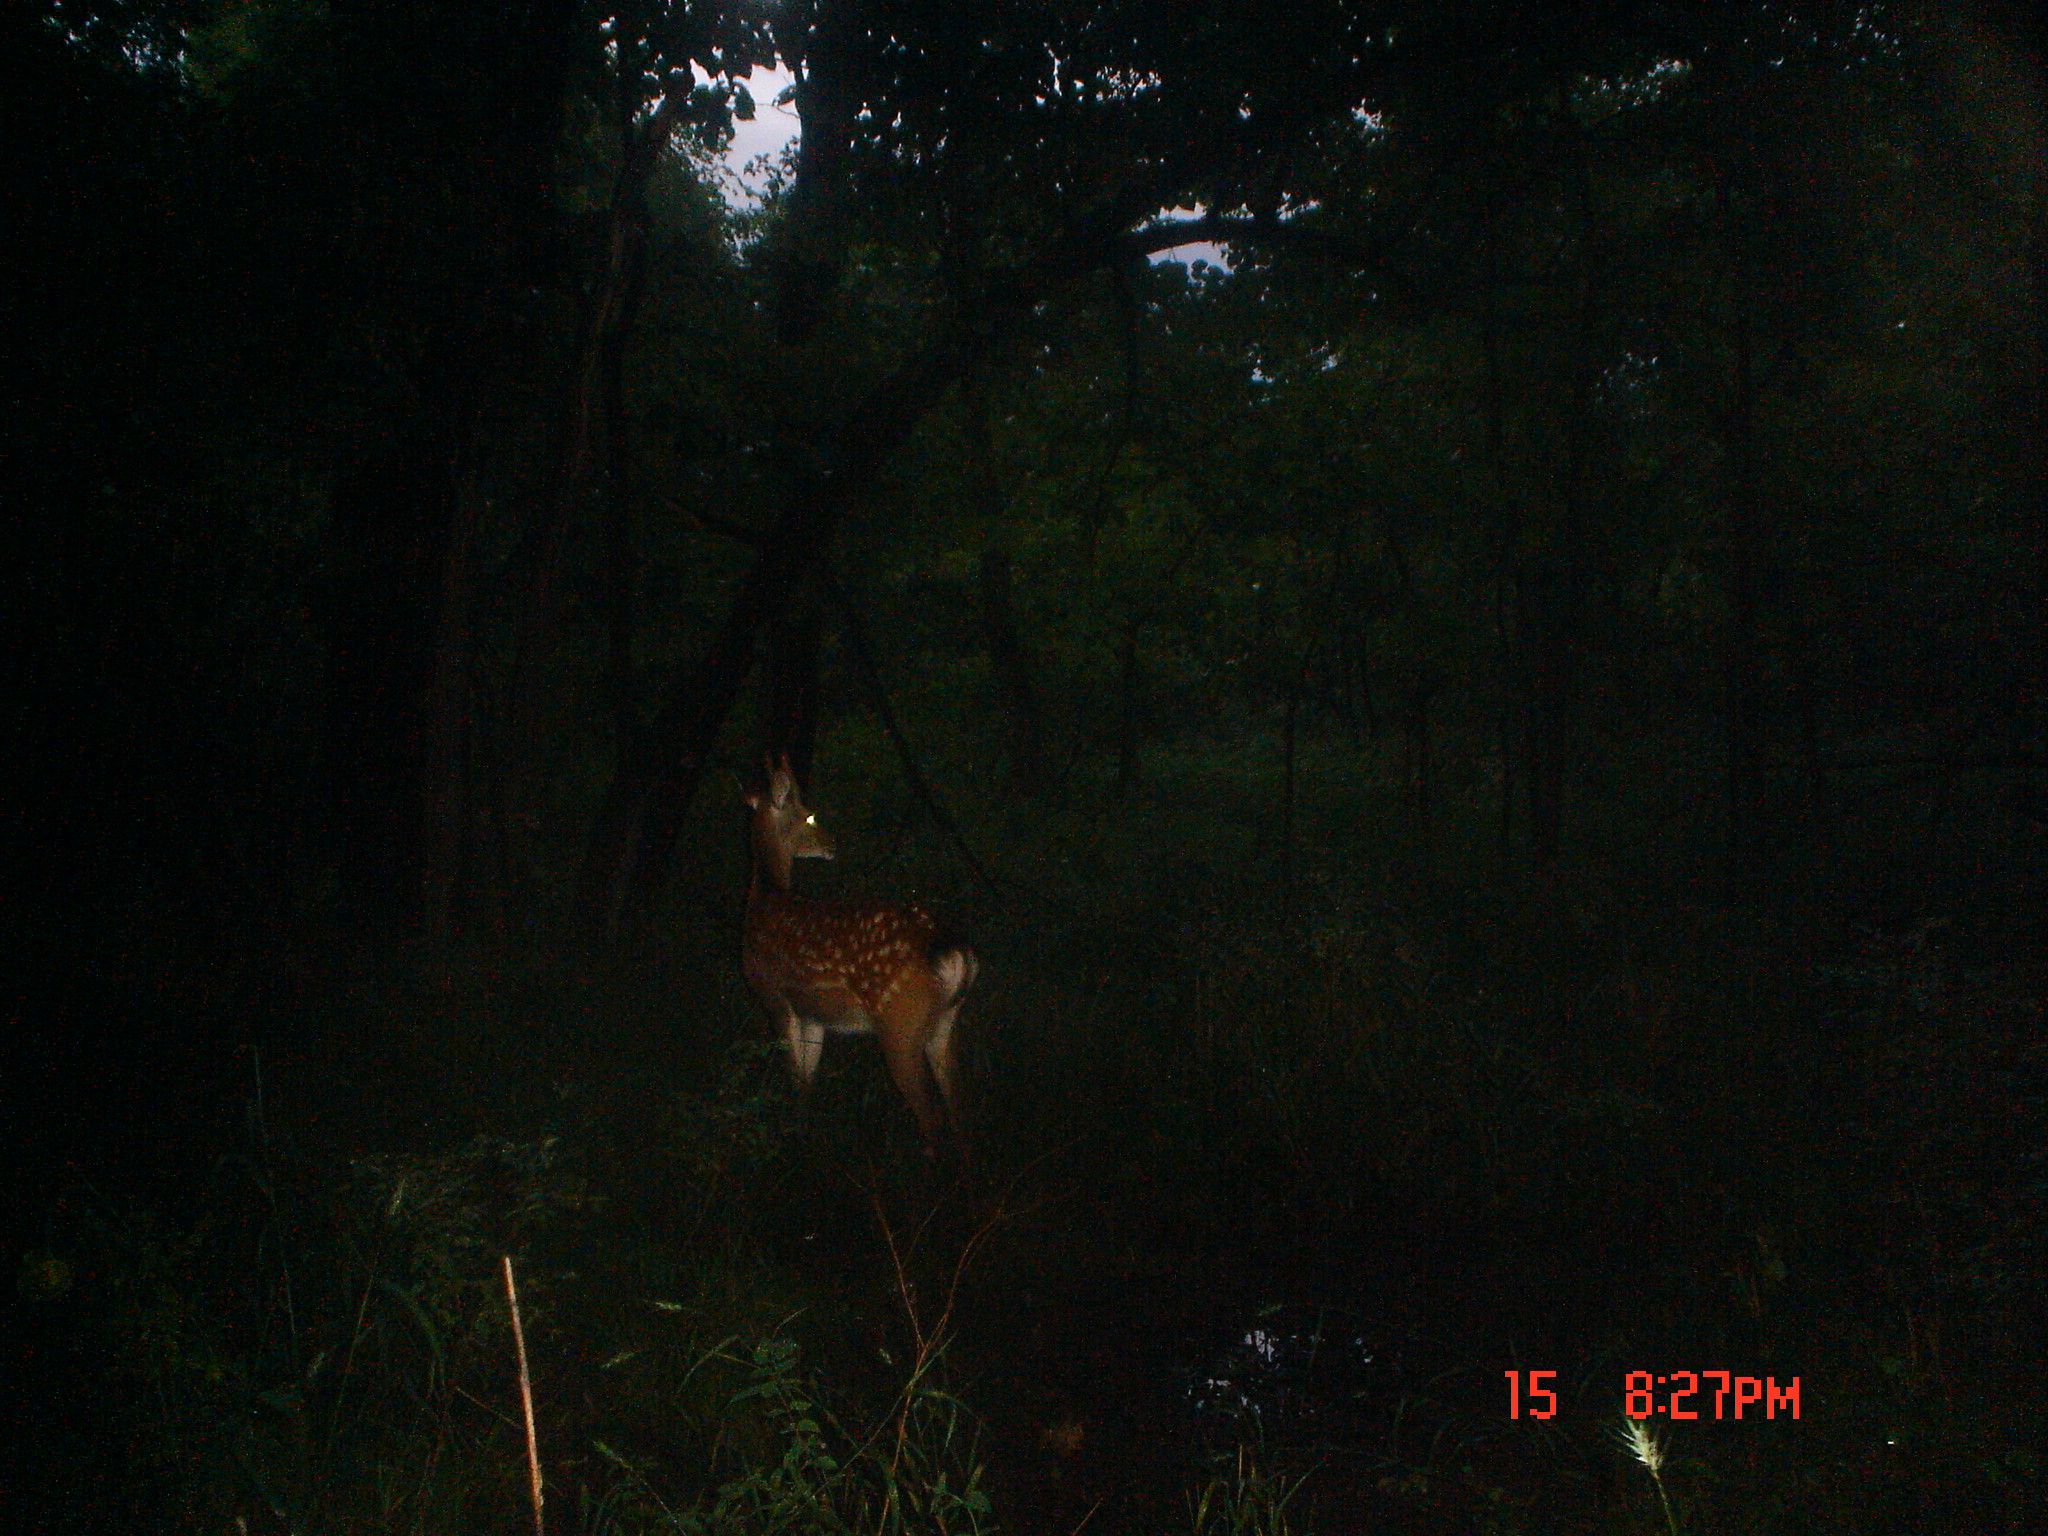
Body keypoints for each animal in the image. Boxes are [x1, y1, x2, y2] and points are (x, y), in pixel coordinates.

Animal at [749, 757, 978, 1155]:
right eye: (809, 816)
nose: (833, 843)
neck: (764, 899)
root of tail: (953, 951)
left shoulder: (774, 996)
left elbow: (794, 1079)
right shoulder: (813, 1015)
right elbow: (806, 1084)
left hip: (900, 1024)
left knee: (932, 1117)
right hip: (945, 1023)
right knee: (959, 1108)